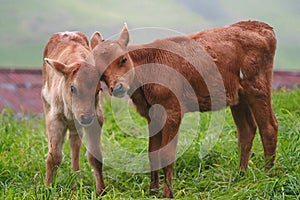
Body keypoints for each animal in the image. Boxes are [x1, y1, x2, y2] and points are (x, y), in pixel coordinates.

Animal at [42, 30, 105, 195]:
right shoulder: (54, 119)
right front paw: (48, 188)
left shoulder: (96, 118)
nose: (86, 117)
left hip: (76, 127)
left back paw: (75, 178)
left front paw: (101, 191)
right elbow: (54, 156)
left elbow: (95, 156)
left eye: (99, 90)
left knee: (75, 145)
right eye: (73, 88)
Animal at [91, 21, 278, 198]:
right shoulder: (152, 116)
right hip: (238, 96)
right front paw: (152, 191)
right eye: (99, 69)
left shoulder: (172, 111)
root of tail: (261, 27)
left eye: (123, 59)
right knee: (247, 130)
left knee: (269, 127)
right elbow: (153, 153)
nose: (118, 87)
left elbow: (167, 154)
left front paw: (167, 193)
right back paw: (241, 175)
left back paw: (268, 177)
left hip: (257, 86)